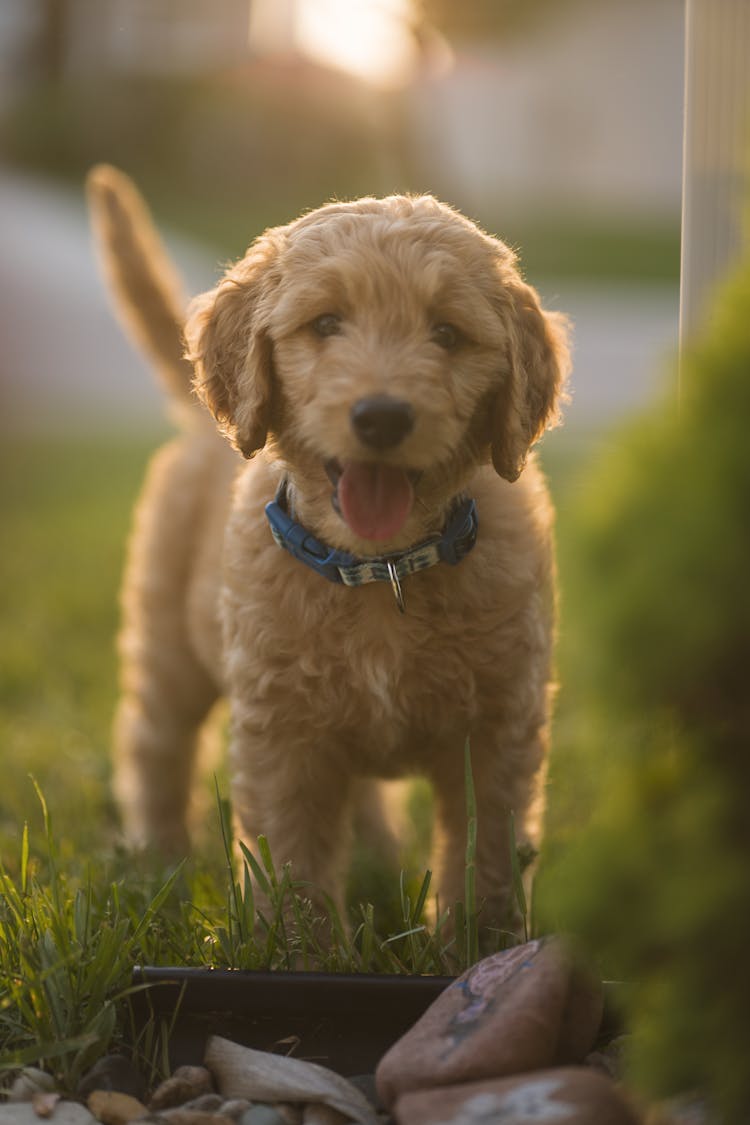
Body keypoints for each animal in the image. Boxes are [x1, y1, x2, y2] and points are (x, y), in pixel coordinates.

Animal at [86, 166, 568, 936]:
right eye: (325, 325)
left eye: (447, 333)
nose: (382, 416)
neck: (381, 568)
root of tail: (195, 404)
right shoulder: (284, 733)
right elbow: (294, 854)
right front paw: (298, 947)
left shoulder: (499, 724)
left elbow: (488, 847)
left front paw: (477, 941)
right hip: (167, 639)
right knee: (155, 743)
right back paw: (159, 864)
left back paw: (376, 854)